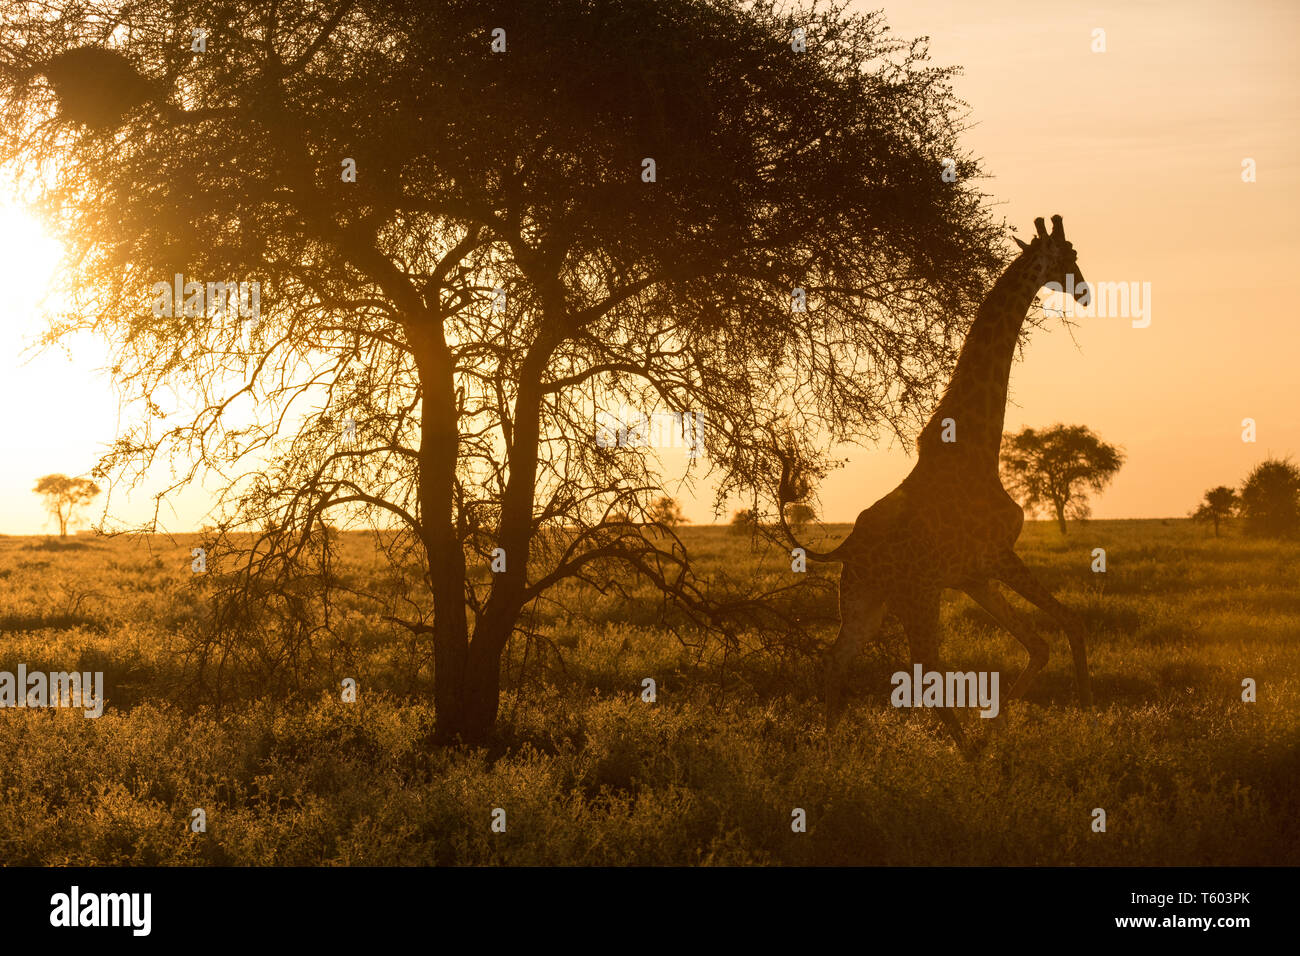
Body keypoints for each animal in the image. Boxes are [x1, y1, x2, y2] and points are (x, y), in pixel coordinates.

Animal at [780, 214, 1097, 738]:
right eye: (1068, 254)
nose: (1085, 291)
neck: (978, 445)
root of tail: (846, 546)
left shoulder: (974, 575)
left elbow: (1039, 643)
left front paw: (996, 730)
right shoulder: (998, 557)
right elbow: (1070, 623)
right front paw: (1081, 712)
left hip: (864, 599)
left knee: (837, 660)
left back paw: (831, 746)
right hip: (916, 596)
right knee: (923, 669)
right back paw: (959, 751)